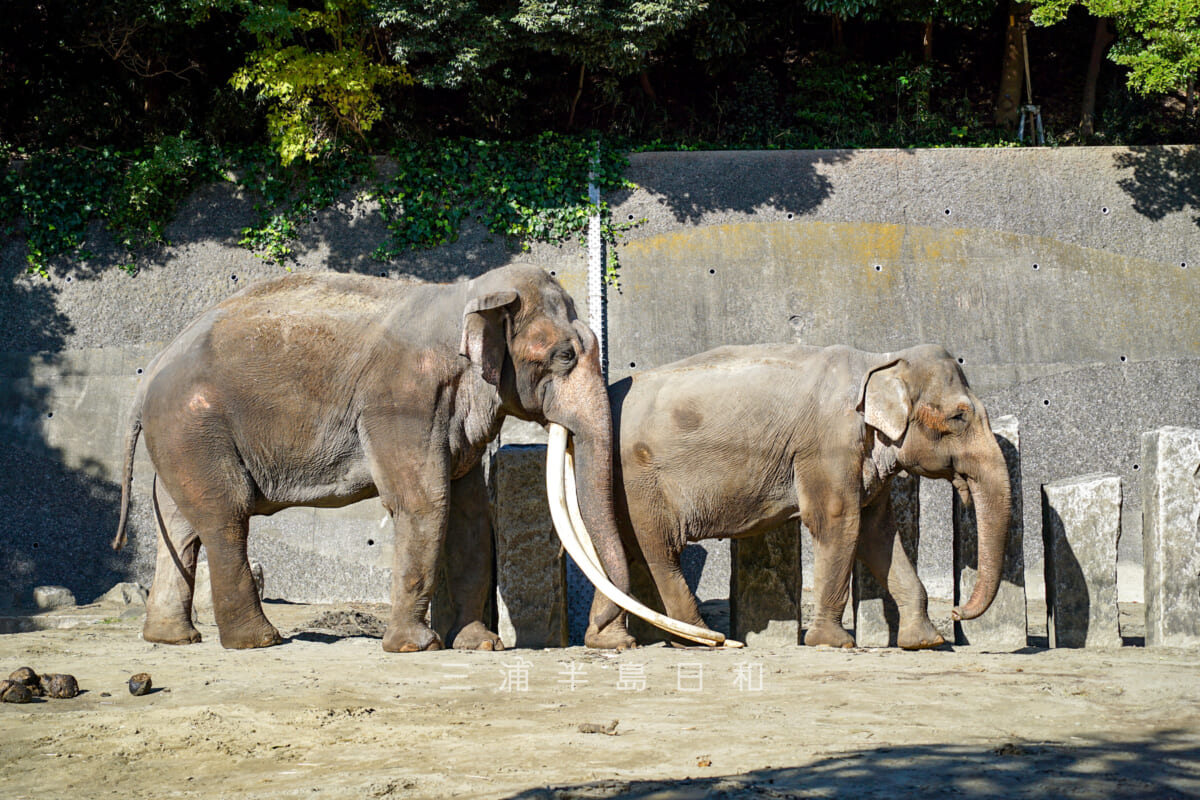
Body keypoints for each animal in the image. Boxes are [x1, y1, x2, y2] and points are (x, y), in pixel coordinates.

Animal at [585, 345, 1008, 652]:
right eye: (959, 417)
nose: (956, 611)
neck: (879, 362)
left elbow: (878, 534)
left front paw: (925, 642)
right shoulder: (828, 446)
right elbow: (838, 522)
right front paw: (833, 643)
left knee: (620, 550)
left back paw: (613, 641)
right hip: (639, 481)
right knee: (659, 550)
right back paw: (701, 639)